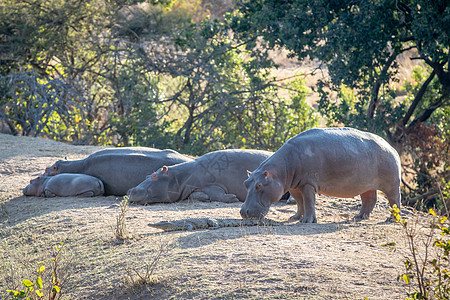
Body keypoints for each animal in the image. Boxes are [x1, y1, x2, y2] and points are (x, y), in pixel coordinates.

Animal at [127, 149, 274, 205]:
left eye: (153, 176)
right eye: (147, 174)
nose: (131, 190)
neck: (181, 176)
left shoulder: (215, 184)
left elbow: (217, 193)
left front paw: (233, 197)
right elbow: (195, 195)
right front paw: (203, 196)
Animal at [241, 127, 402, 223]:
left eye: (259, 185)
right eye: (246, 183)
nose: (243, 212)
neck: (281, 170)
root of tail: (391, 147)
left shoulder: (307, 184)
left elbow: (308, 202)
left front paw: (307, 221)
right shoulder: (294, 186)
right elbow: (299, 202)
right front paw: (295, 217)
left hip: (392, 184)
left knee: (394, 200)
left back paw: (392, 219)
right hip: (365, 184)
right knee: (369, 199)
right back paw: (359, 217)